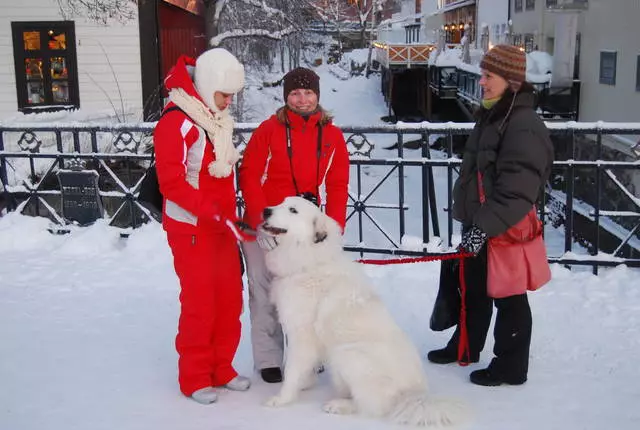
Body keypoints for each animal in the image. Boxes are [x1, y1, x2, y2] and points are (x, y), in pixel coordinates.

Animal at [260, 197, 464, 426]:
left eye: (293, 210)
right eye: (282, 202)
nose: (265, 211)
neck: (308, 261)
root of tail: (414, 395)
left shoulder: (302, 336)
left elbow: (292, 371)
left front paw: (281, 398)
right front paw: (304, 384)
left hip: (348, 353)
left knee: (371, 405)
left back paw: (339, 405)